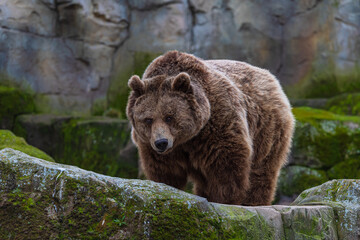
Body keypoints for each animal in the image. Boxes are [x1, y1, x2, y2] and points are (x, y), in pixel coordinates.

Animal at [125, 50, 294, 204]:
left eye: (169, 117)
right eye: (148, 119)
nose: (161, 142)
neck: (186, 139)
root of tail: (270, 77)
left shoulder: (217, 121)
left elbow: (226, 162)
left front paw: (224, 198)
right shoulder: (151, 144)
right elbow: (165, 170)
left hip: (266, 126)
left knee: (262, 169)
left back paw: (254, 201)